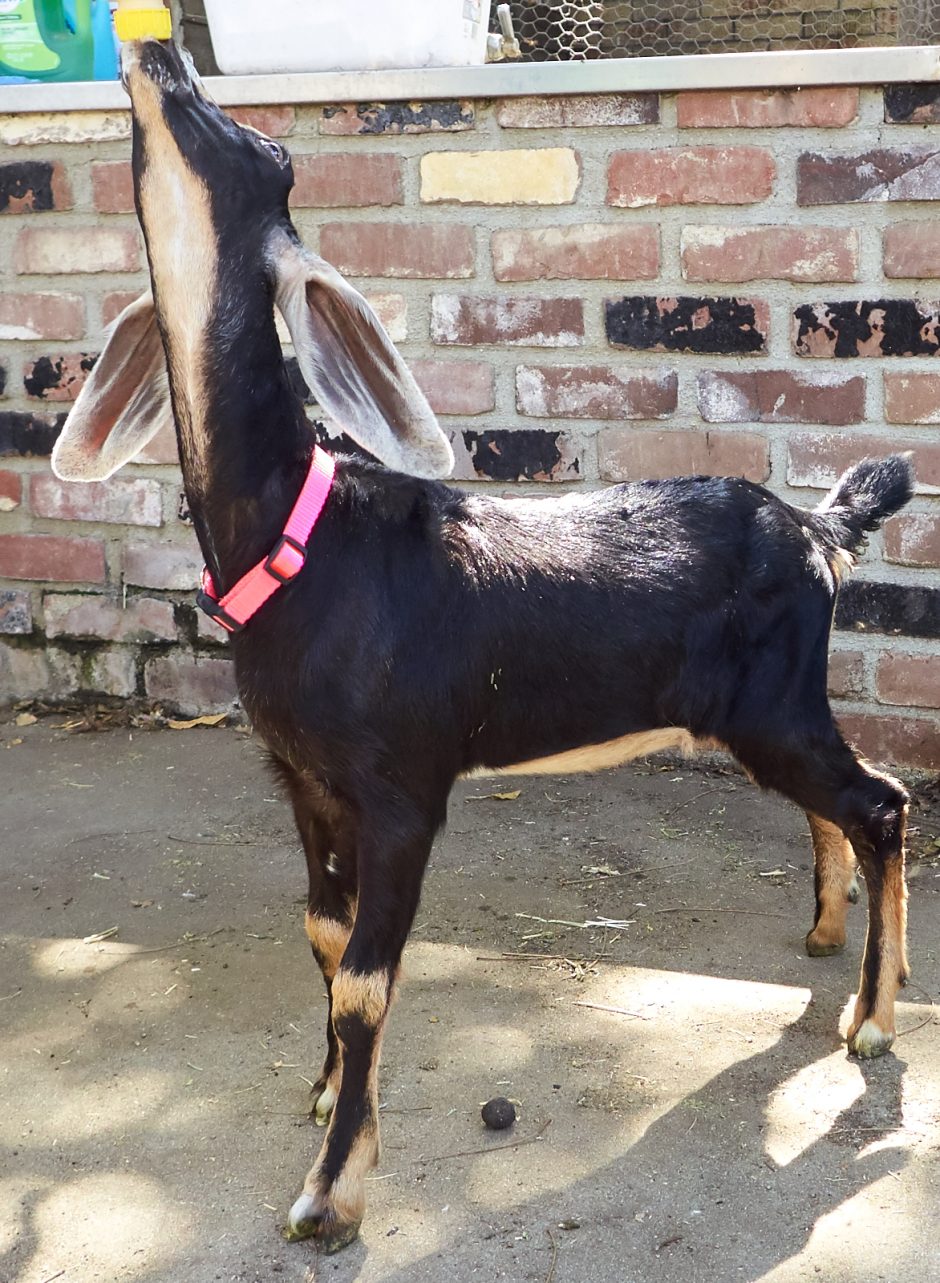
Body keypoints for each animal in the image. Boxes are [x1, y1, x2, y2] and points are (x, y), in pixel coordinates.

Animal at [51, 39, 915, 1254]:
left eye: (263, 150)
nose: (158, 53)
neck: (301, 538)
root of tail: (816, 532)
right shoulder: (303, 780)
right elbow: (323, 933)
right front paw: (326, 1090)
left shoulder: (402, 786)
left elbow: (366, 979)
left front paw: (331, 1192)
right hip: (766, 714)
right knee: (837, 805)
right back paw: (831, 937)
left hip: (777, 704)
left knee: (881, 800)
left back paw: (873, 1019)